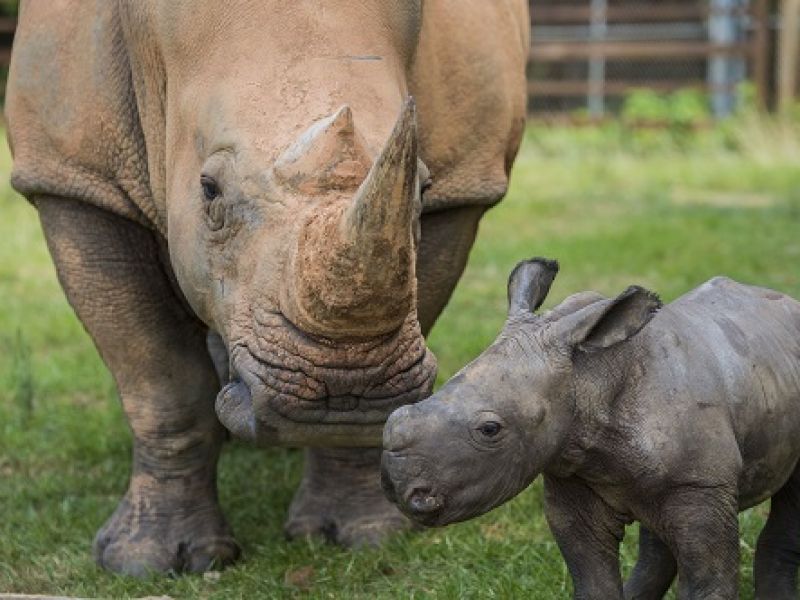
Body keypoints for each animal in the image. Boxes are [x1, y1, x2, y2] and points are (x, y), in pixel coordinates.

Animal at [380, 260, 800, 600]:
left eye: (489, 430)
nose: (398, 490)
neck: (589, 378)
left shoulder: (700, 482)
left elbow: (708, 581)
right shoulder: (572, 474)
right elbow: (593, 581)